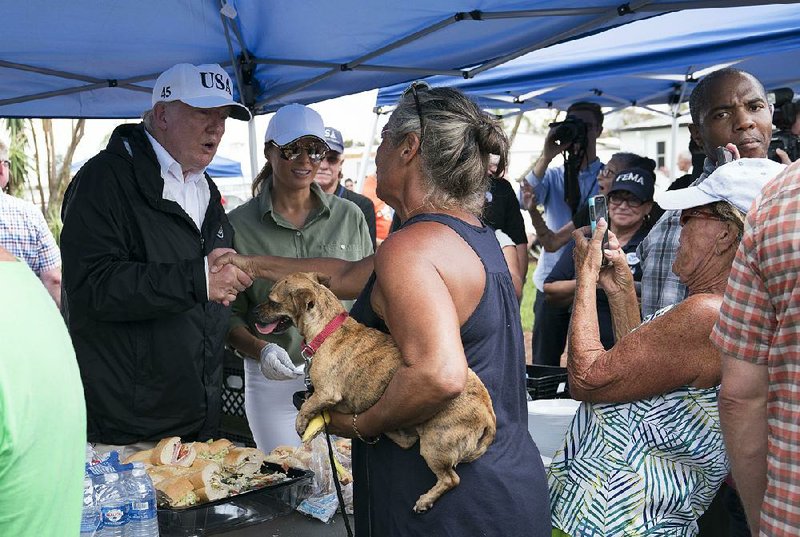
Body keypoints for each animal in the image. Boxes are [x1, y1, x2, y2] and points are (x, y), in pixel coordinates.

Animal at [253, 272, 496, 510]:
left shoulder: (326, 393)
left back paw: (426, 500)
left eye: (273, 301)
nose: (254, 312)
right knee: (408, 441)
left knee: (451, 479)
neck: (326, 328)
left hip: (434, 446)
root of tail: (487, 414)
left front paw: (302, 422)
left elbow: (308, 406)